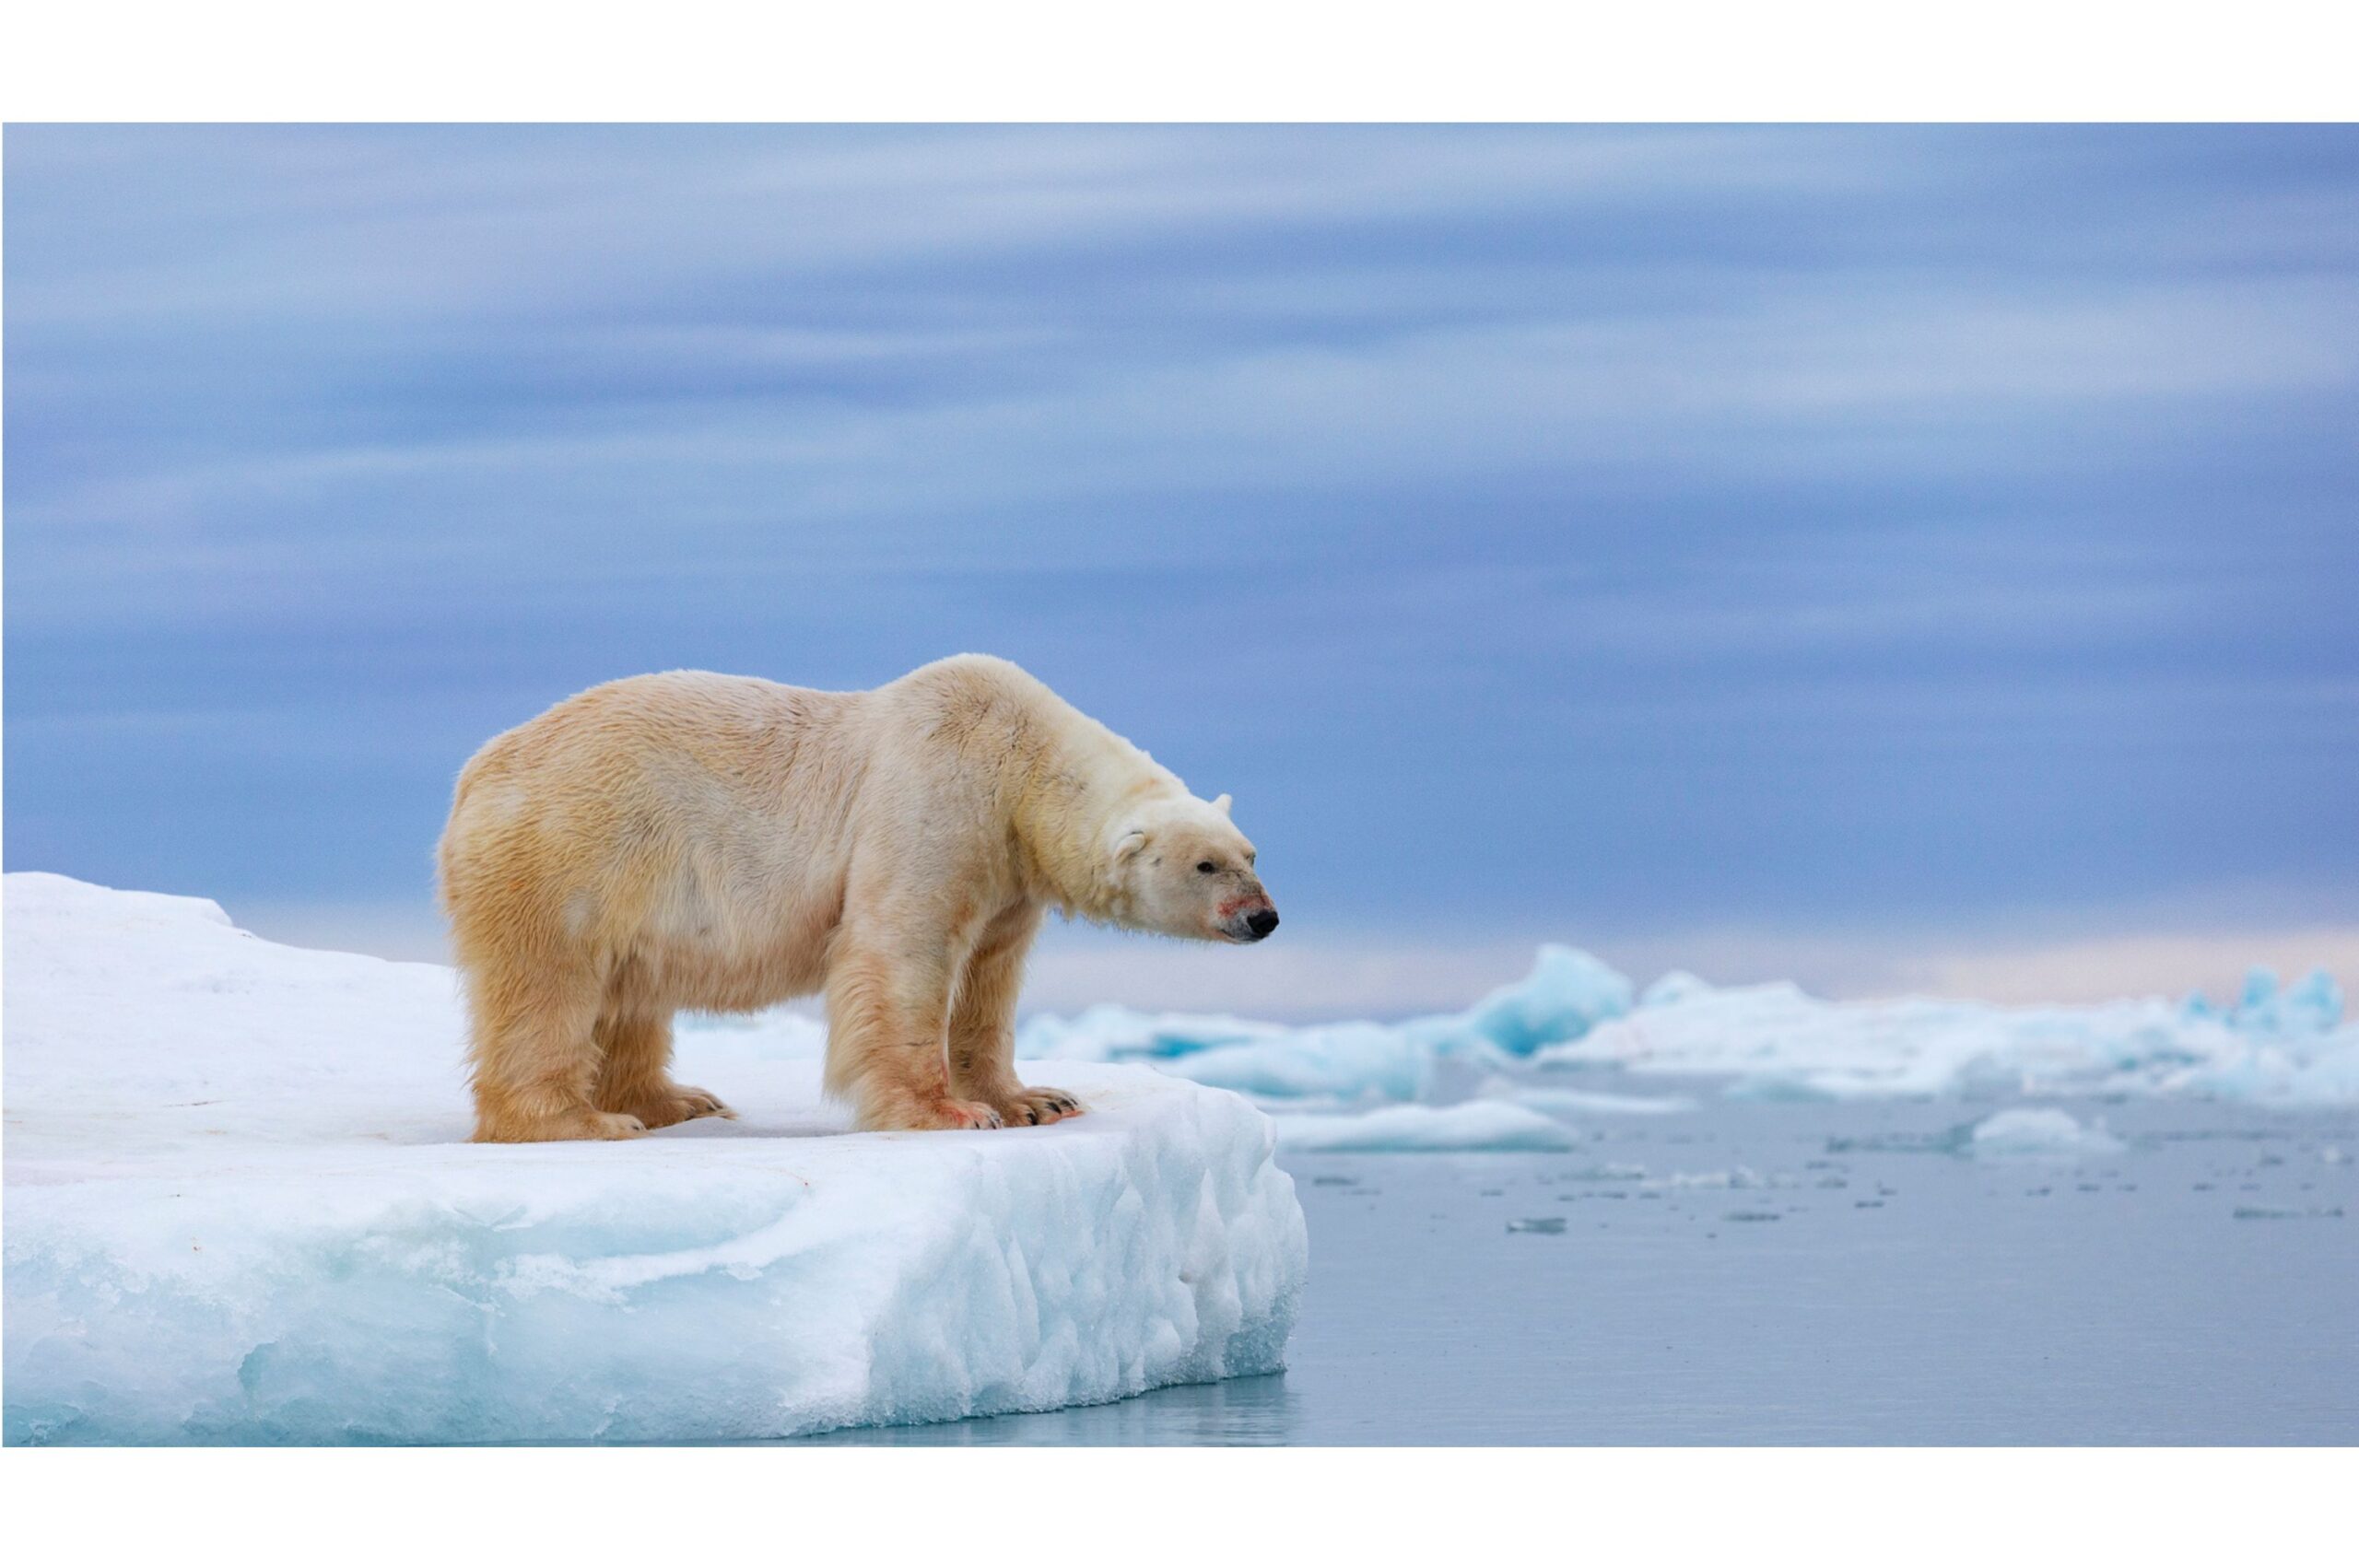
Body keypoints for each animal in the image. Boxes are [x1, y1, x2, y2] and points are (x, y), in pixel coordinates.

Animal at [435, 654, 1278, 1142]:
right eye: (1205, 866)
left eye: (1250, 855)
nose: (1263, 917)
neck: (1020, 762)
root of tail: (475, 773)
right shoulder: (935, 800)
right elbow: (903, 951)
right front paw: (948, 1113)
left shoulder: (1008, 874)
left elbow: (990, 980)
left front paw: (1036, 1099)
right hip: (572, 852)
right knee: (550, 987)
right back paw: (583, 1120)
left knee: (631, 992)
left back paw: (677, 1101)